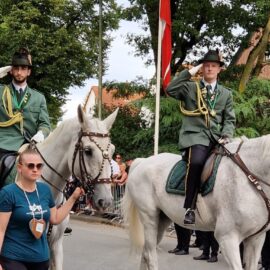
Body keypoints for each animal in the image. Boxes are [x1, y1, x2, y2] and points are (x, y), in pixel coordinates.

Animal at [123, 136, 270, 268]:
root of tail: (142, 161)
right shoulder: (227, 237)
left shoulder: (256, 239)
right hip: (149, 218)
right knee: (150, 255)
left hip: (162, 220)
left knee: (146, 253)